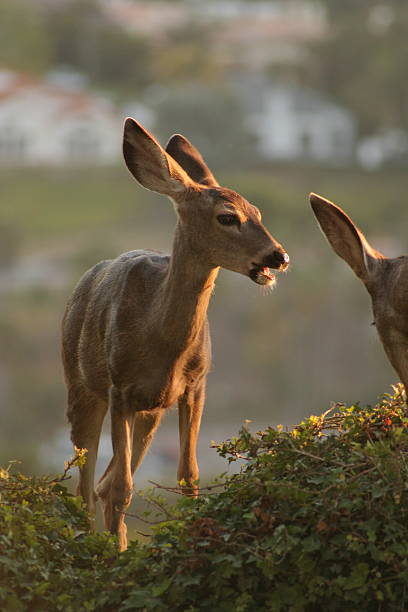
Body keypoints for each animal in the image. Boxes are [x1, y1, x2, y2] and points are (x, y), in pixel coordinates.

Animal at [62, 118, 288, 548]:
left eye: (258, 211)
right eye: (227, 217)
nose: (279, 256)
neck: (160, 340)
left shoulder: (195, 386)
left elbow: (188, 477)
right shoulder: (119, 387)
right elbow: (123, 488)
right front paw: (115, 555)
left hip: (150, 413)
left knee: (103, 483)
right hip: (80, 388)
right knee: (86, 487)